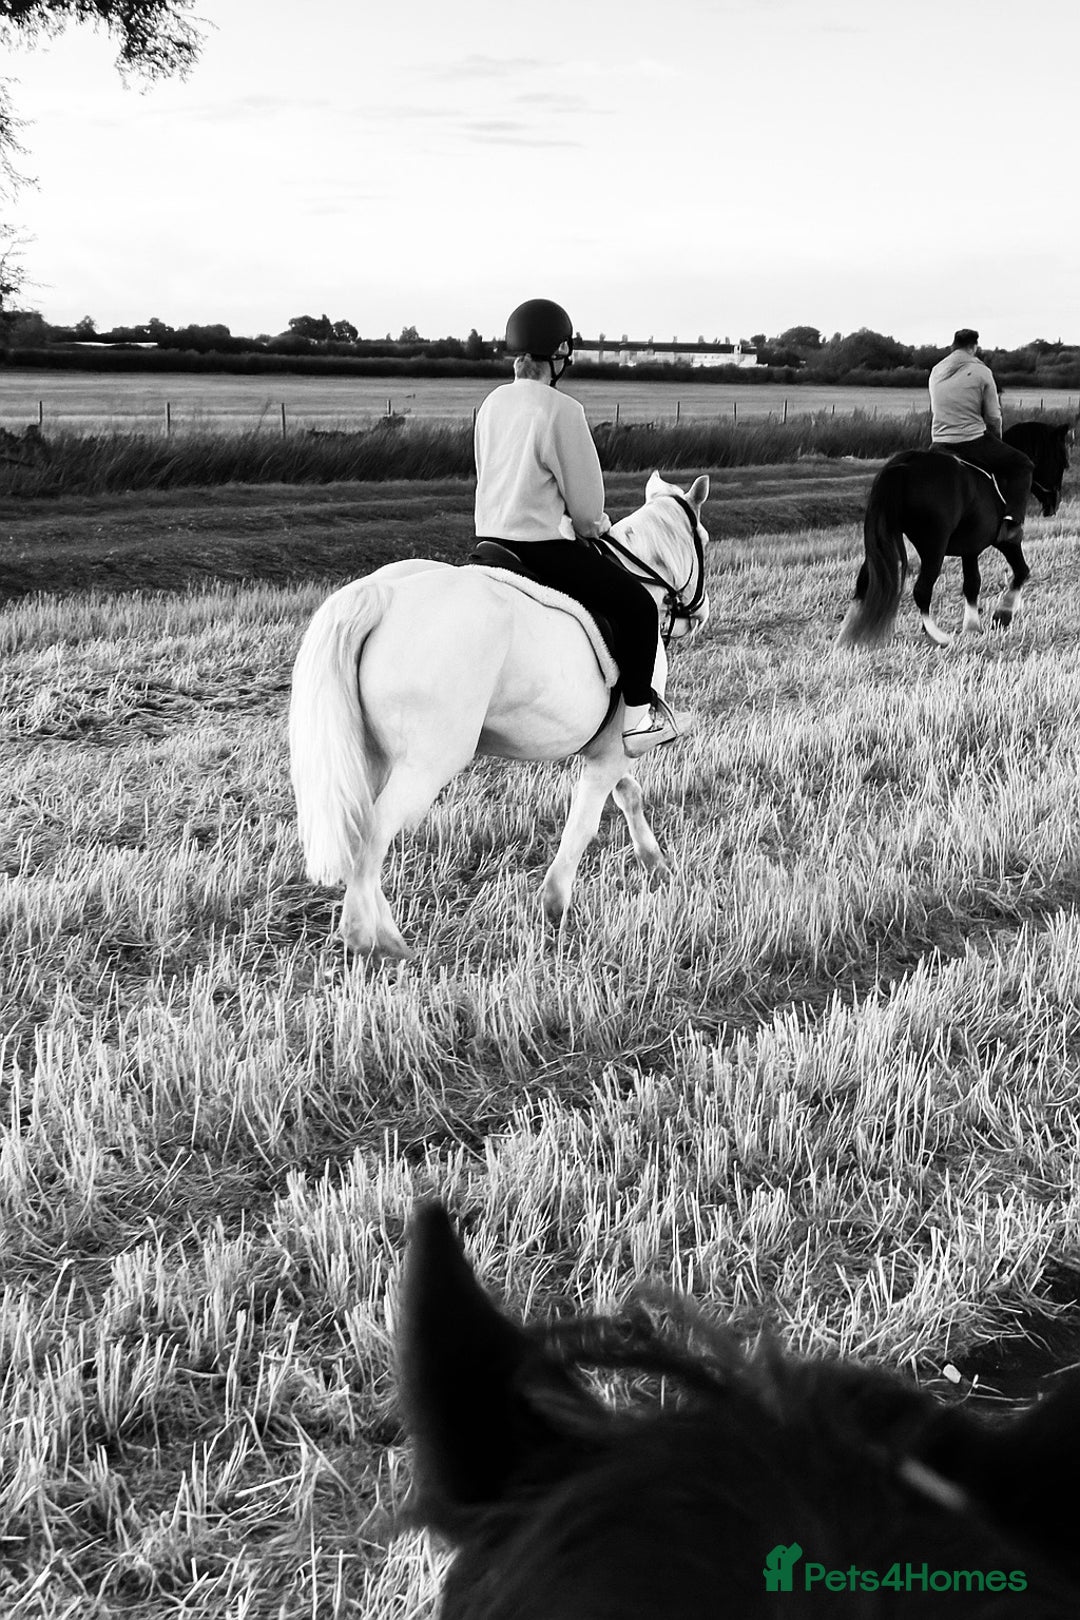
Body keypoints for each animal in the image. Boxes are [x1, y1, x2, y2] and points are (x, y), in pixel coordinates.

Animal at [289, 472, 710, 959]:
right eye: (702, 538)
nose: (697, 615)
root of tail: (381, 595)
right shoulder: (612, 751)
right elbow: (584, 821)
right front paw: (554, 905)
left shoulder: (609, 747)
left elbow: (629, 796)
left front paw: (655, 863)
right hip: (425, 766)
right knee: (374, 833)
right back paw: (379, 943)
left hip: (373, 758)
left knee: (361, 829)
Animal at [836, 451, 1031, 648]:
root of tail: (904, 465)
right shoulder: (1007, 543)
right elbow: (1022, 571)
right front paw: (1003, 614)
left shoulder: (970, 551)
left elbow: (972, 584)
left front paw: (973, 627)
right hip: (934, 547)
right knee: (921, 590)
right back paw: (939, 636)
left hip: (881, 542)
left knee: (864, 584)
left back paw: (846, 638)